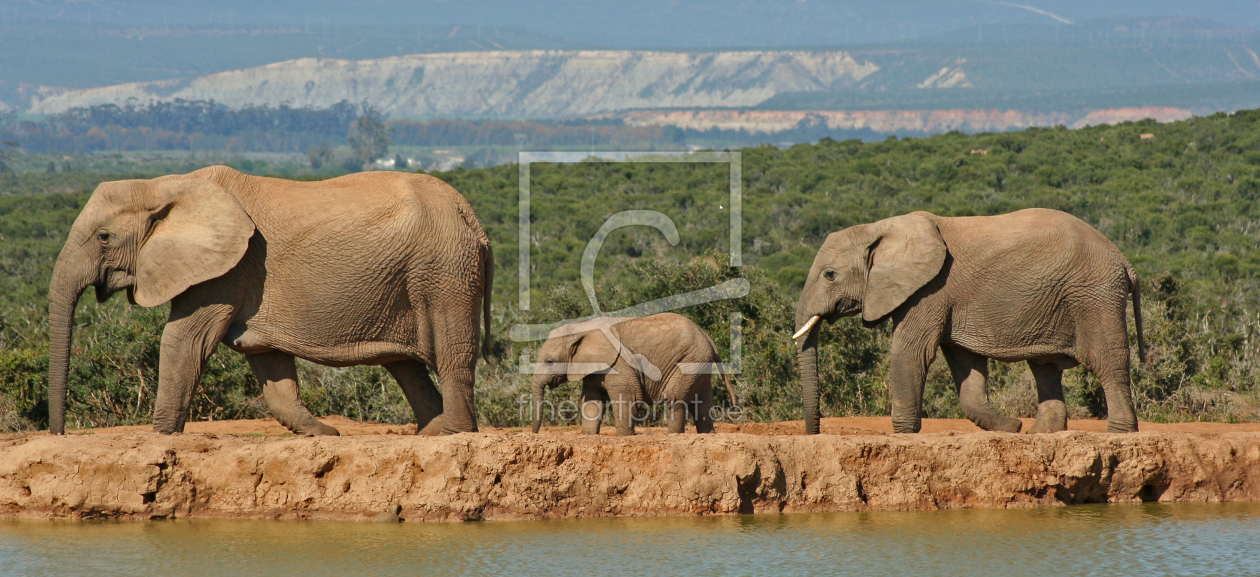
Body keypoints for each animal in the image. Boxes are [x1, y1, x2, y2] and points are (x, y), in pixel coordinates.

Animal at [44, 165, 488, 435]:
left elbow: (184, 340)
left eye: (103, 237)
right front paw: (324, 434)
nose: (59, 432)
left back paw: (452, 434)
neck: (168, 183)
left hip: (444, 272)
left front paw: (163, 436)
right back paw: (429, 433)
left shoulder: (228, 269)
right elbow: (263, 354)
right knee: (405, 364)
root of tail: (469, 215)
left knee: (451, 354)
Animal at [529, 313, 735, 435]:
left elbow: (626, 397)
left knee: (674, 399)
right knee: (702, 402)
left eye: (549, 361)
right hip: (699, 365)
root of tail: (708, 338)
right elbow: (592, 401)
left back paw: (674, 435)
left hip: (689, 361)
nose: (534, 433)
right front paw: (589, 435)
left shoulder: (619, 363)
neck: (582, 328)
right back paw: (707, 435)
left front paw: (625, 436)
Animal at [796, 209, 1144, 435]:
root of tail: (1126, 262)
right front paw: (1009, 428)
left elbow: (910, 352)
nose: (816, 432)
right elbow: (965, 363)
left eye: (830, 275)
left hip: (1095, 295)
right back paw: (1040, 434)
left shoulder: (930, 289)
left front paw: (904, 434)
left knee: (1107, 361)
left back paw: (1118, 433)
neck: (879, 228)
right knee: (1044, 367)